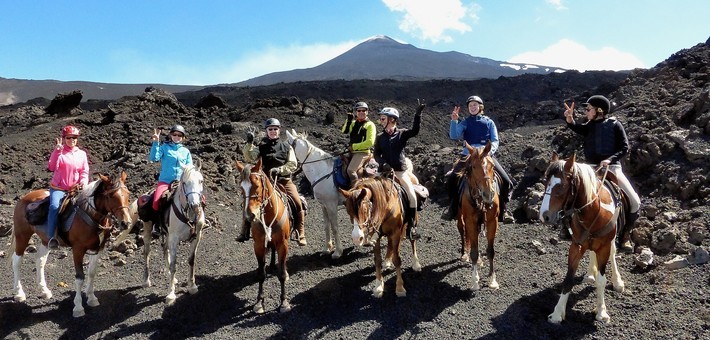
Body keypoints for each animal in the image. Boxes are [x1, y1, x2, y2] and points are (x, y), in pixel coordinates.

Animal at [9, 171, 132, 318]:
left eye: (128, 194)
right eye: (110, 196)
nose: (126, 223)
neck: (90, 215)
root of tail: (25, 197)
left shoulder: (98, 248)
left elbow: (91, 272)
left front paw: (92, 298)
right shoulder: (78, 250)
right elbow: (80, 278)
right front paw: (78, 307)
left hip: (46, 240)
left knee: (40, 260)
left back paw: (44, 290)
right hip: (22, 236)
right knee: (17, 261)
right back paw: (19, 293)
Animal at [136, 162, 207, 306]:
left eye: (201, 181)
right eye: (184, 183)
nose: (195, 205)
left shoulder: (196, 237)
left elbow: (191, 260)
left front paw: (192, 286)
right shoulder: (174, 239)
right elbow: (174, 264)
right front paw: (171, 294)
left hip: (167, 234)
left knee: (164, 249)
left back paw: (171, 277)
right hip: (148, 228)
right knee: (147, 252)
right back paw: (146, 280)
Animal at [236, 157, 292, 314]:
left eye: (256, 185)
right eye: (241, 188)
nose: (249, 216)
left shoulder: (283, 244)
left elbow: (282, 274)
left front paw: (284, 303)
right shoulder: (259, 245)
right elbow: (261, 274)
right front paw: (259, 302)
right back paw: (271, 264)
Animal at [458, 141, 504, 290]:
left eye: (492, 166)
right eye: (473, 166)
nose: (488, 193)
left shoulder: (492, 221)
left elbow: (490, 251)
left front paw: (492, 280)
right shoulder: (470, 221)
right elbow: (473, 251)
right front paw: (474, 281)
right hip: (460, 216)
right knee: (462, 230)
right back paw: (464, 254)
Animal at [540, 153, 628, 322]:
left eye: (562, 186)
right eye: (546, 182)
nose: (544, 215)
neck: (594, 211)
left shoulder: (604, 247)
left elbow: (602, 280)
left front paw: (601, 312)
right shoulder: (577, 245)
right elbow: (568, 279)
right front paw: (557, 313)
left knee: (613, 254)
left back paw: (618, 282)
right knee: (592, 252)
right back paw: (589, 275)